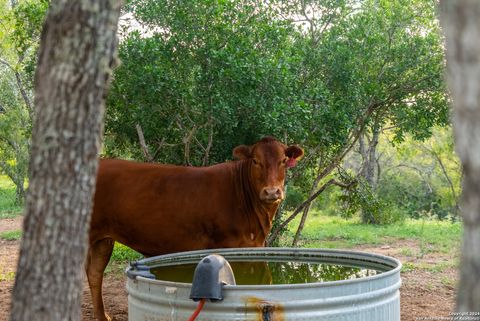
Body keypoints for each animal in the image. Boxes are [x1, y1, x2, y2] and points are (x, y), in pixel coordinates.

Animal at [86, 136, 302, 320]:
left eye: (284, 160)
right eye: (256, 161)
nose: (272, 191)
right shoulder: (229, 246)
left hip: (103, 239)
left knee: (95, 272)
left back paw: (102, 316)